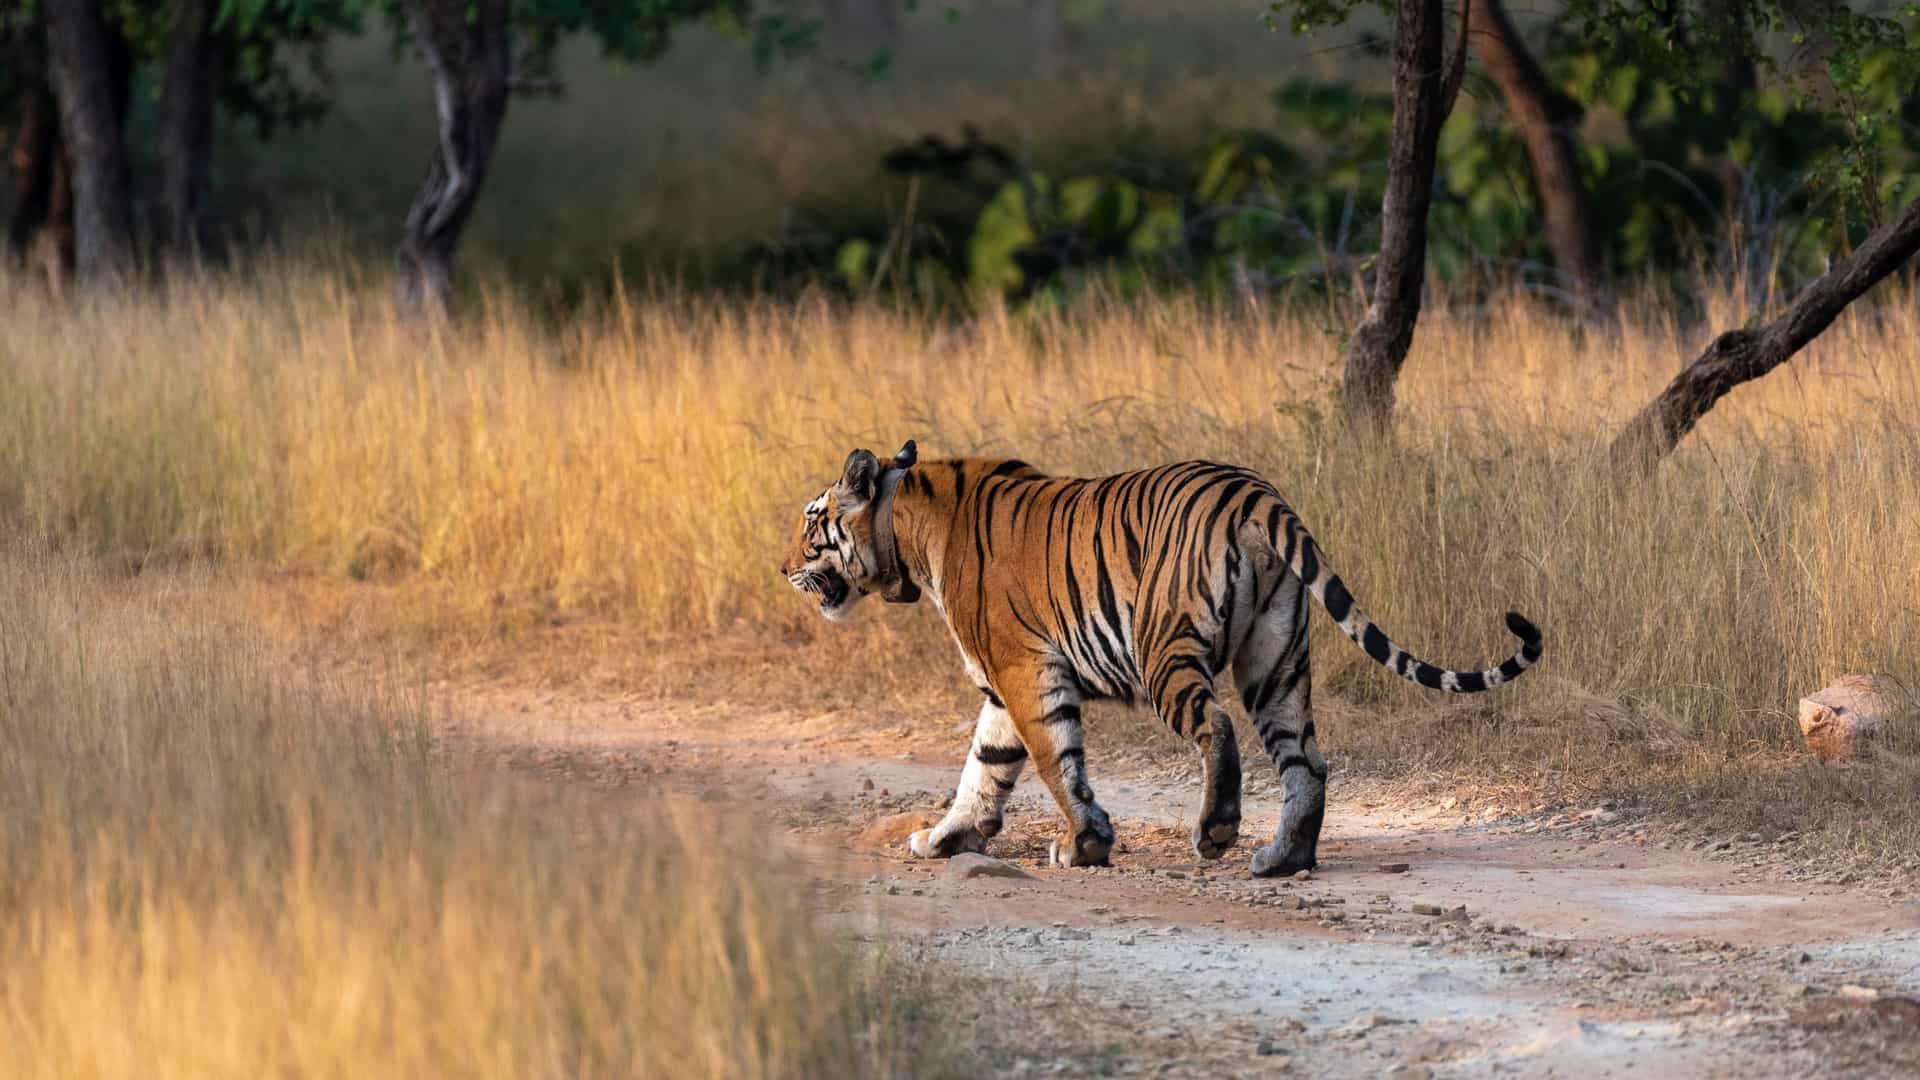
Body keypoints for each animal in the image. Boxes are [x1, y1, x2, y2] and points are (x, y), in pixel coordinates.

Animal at [779, 440, 1542, 876]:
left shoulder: (1025, 671)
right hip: (1276, 660)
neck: (908, 528)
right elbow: (984, 769)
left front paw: (1083, 845)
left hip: (1164, 649)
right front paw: (944, 839)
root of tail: (1259, 493)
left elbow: (1055, 762)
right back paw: (1282, 858)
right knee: (1307, 761)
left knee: (1219, 727)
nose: (782, 567)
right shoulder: (1002, 687)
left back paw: (1218, 831)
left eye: (812, 522)